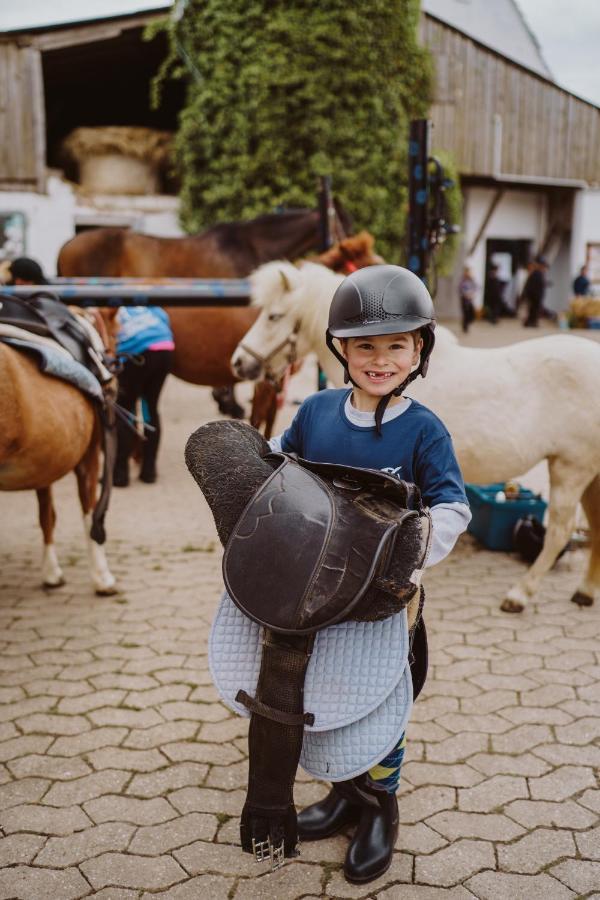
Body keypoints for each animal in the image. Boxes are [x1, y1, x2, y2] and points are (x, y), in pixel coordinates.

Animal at [0, 306, 119, 596]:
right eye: (117, 333)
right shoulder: (89, 457)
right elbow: (90, 512)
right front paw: (102, 577)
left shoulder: (43, 460)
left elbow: (47, 515)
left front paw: (51, 572)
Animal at [232, 260, 600, 612]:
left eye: (274, 316)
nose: (238, 363)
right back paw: (584, 591)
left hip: (571, 468)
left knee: (560, 532)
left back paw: (520, 594)